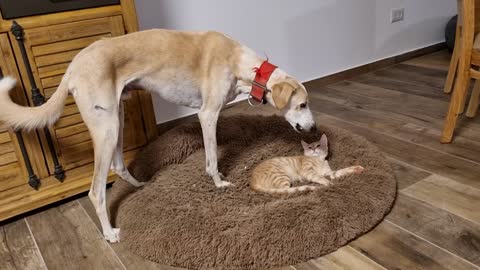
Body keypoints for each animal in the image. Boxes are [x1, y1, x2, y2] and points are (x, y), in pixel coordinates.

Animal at [0, 29, 316, 243]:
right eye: (302, 105)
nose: (313, 129)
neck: (242, 65)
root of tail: (73, 65)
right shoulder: (208, 114)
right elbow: (212, 158)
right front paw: (219, 183)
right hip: (106, 128)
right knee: (96, 191)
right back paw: (110, 233)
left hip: (117, 118)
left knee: (118, 165)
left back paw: (140, 185)